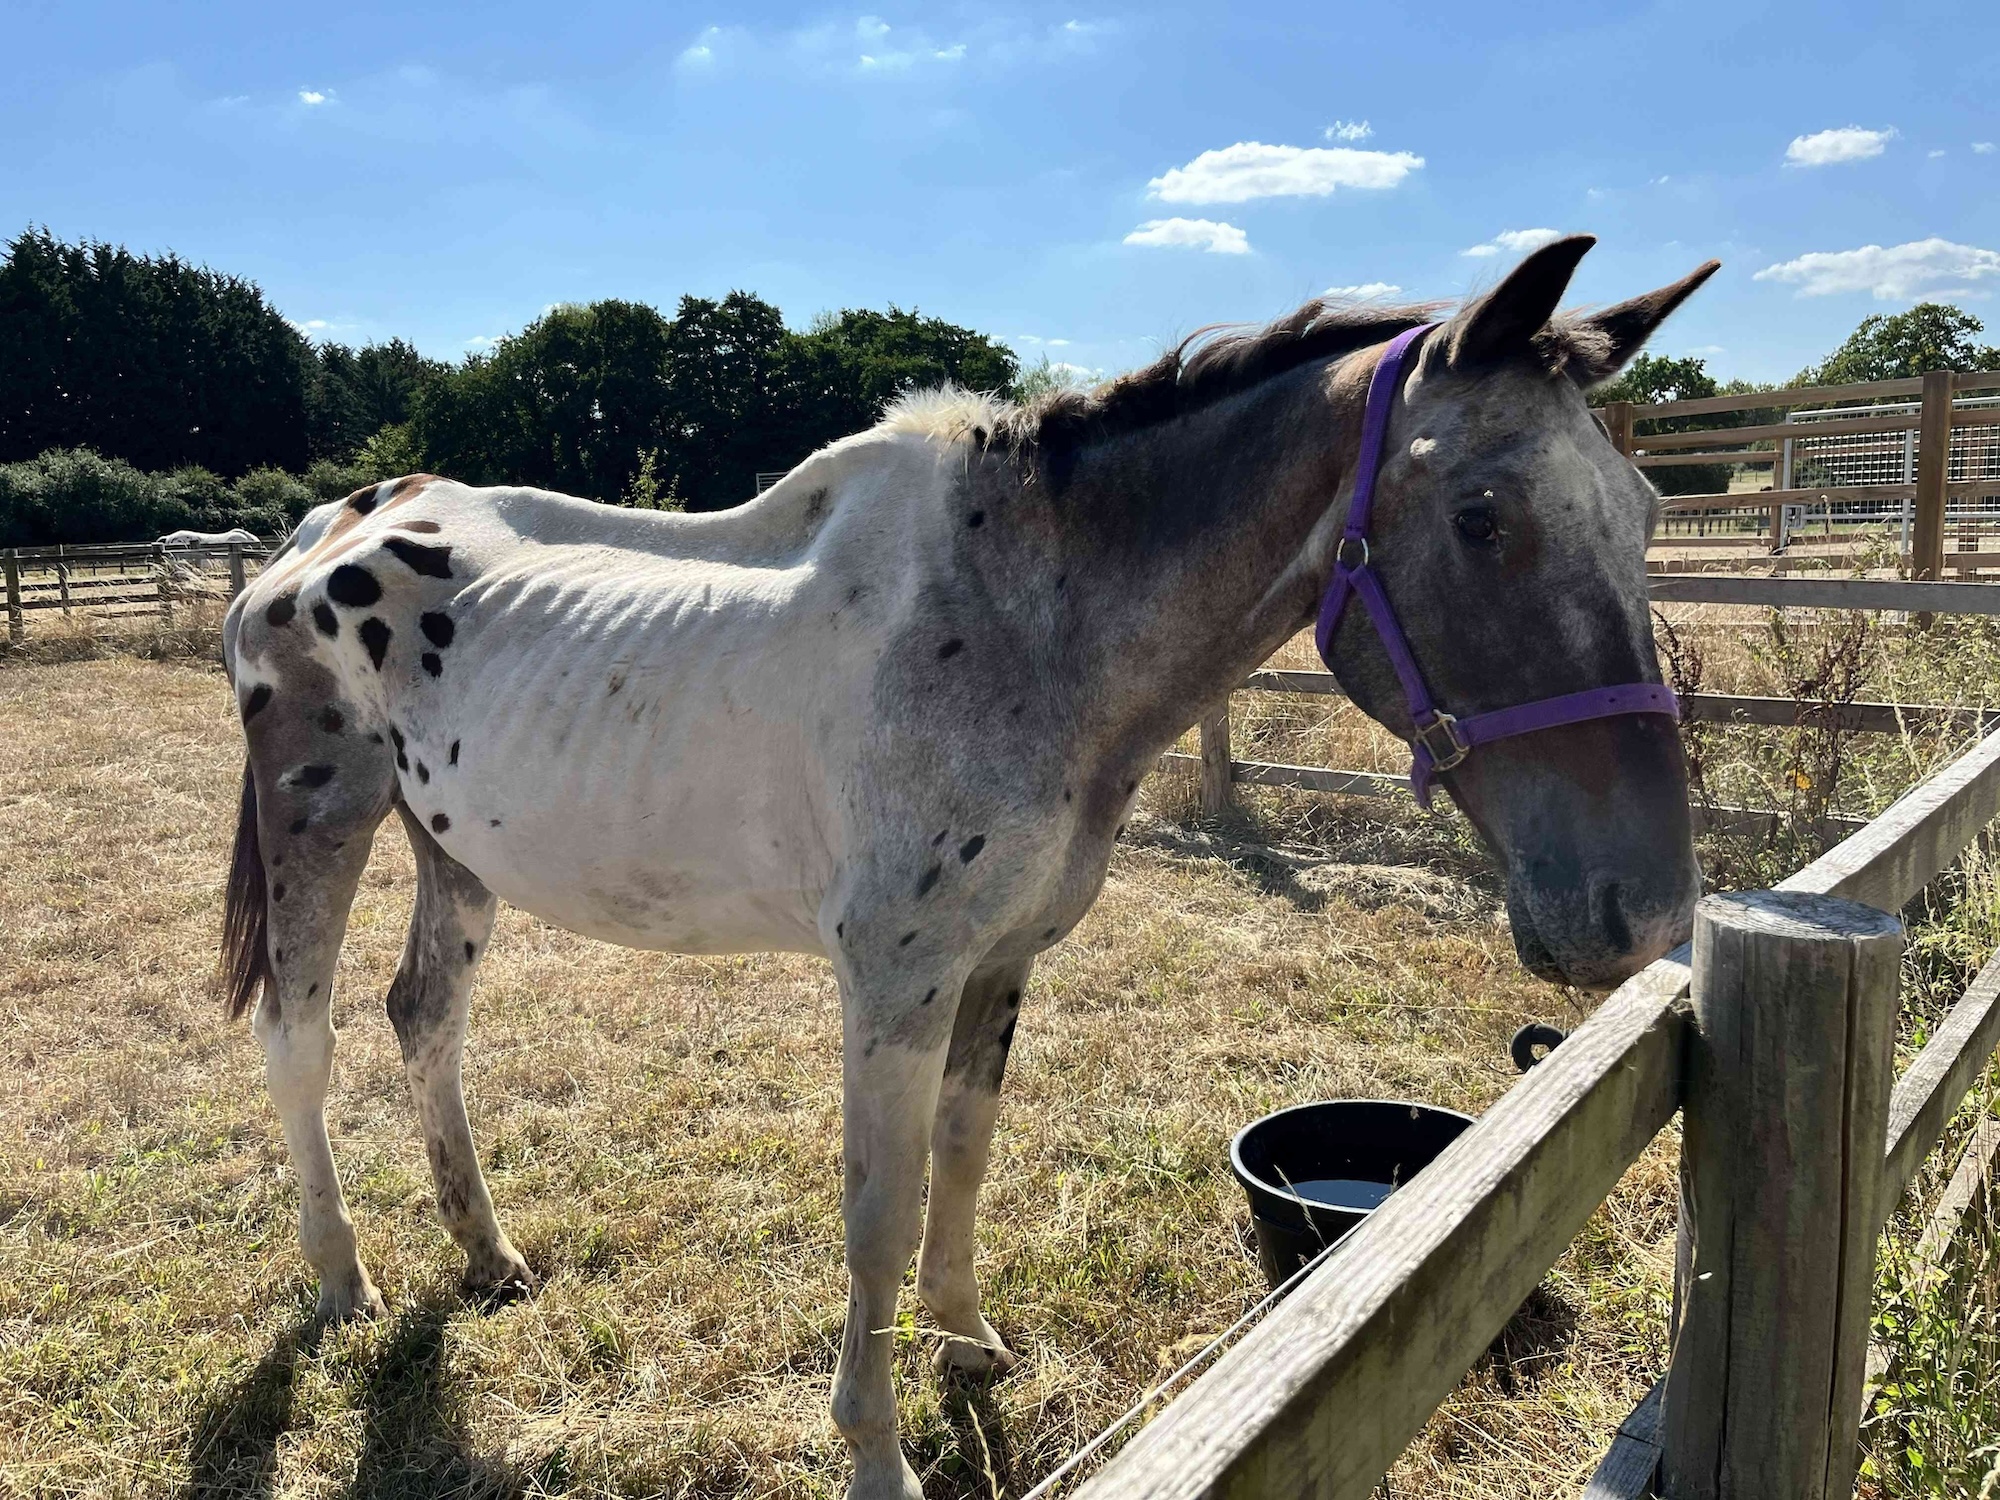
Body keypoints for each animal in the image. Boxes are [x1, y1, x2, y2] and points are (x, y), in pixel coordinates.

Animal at [217, 235, 1712, 1500]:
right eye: (1479, 514)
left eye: (1645, 510)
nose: (1638, 911)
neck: (1019, 625)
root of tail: (320, 534)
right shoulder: (895, 985)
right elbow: (873, 1214)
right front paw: (880, 1457)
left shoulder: (996, 964)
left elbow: (964, 1149)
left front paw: (967, 1338)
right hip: (324, 821)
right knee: (299, 1040)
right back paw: (343, 1280)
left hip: (450, 849)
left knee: (425, 1022)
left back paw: (487, 1253)